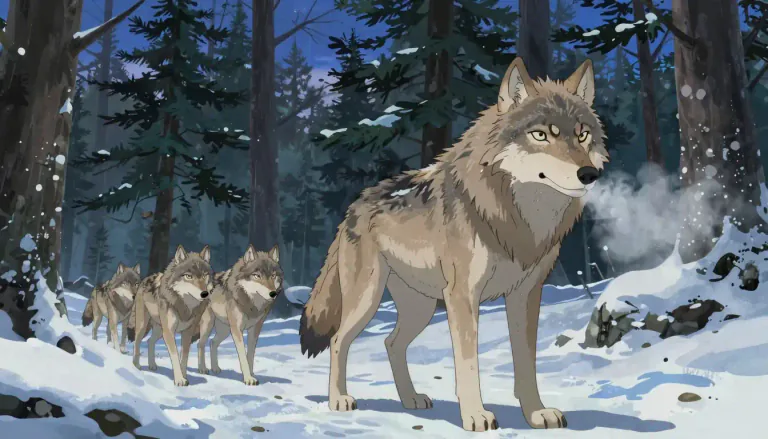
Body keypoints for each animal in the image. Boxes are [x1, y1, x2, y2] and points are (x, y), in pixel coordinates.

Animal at [130, 245, 214, 386]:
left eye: (204, 275)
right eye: (188, 276)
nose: (204, 294)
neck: (185, 306)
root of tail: (145, 279)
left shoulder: (187, 331)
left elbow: (184, 356)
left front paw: (184, 376)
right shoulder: (169, 331)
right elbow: (174, 355)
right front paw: (179, 380)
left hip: (160, 330)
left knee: (149, 341)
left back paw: (152, 365)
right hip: (144, 326)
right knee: (137, 343)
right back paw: (136, 366)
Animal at [197, 244, 283, 385]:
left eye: (273, 275)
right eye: (257, 276)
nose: (273, 293)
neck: (252, 304)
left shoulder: (255, 329)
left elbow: (250, 354)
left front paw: (251, 374)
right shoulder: (237, 329)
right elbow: (242, 354)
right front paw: (248, 378)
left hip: (225, 330)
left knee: (212, 342)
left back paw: (215, 368)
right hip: (209, 326)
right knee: (201, 343)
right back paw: (202, 369)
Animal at [299, 57, 608, 431]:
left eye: (582, 134)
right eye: (541, 135)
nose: (589, 174)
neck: (519, 218)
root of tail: (353, 207)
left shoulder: (526, 295)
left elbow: (526, 363)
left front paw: (536, 413)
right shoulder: (463, 295)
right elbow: (467, 363)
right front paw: (475, 415)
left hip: (421, 308)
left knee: (391, 342)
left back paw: (411, 399)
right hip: (369, 300)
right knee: (337, 340)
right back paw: (339, 399)